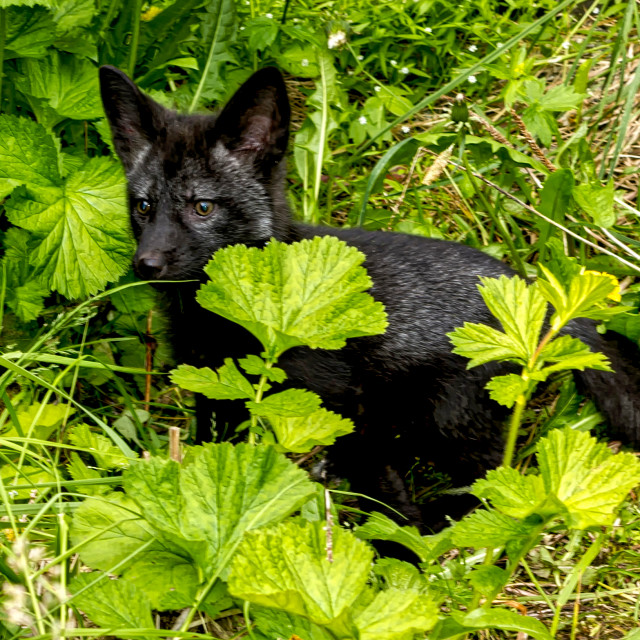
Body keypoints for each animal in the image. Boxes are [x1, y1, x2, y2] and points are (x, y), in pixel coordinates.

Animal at [100, 65, 640, 528]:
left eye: (202, 206)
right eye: (143, 206)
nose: (146, 264)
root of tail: (534, 296)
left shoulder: (343, 401)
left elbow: (385, 493)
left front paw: (402, 549)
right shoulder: (213, 388)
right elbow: (211, 454)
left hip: (448, 421)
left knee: (495, 480)